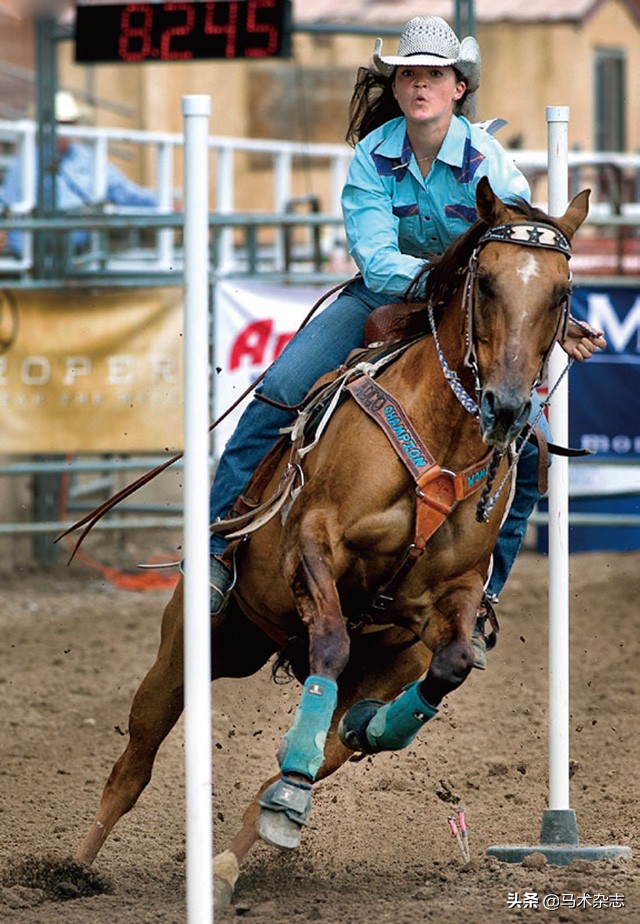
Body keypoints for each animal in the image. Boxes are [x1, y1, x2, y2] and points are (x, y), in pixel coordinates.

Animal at [72, 180, 588, 908]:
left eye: (562, 293)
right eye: (485, 282)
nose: (510, 407)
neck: (443, 439)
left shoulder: (455, 594)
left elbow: (452, 663)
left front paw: (373, 727)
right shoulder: (314, 540)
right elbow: (332, 638)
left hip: (356, 661)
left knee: (296, 770)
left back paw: (246, 845)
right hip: (191, 645)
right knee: (133, 764)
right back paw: (71, 869)